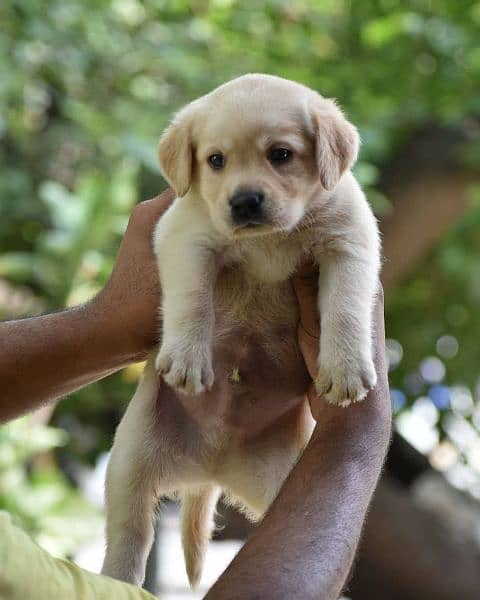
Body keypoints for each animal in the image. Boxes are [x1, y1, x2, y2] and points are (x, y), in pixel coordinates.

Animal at [102, 72, 382, 588]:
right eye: (216, 160)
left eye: (281, 154)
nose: (245, 200)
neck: (267, 240)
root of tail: (211, 468)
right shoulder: (185, 235)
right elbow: (192, 301)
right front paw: (188, 358)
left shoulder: (351, 240)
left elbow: (347, 306)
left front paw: (347, 367)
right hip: (130, 467)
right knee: (131, 539)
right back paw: (117, 581)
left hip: (281, 486)